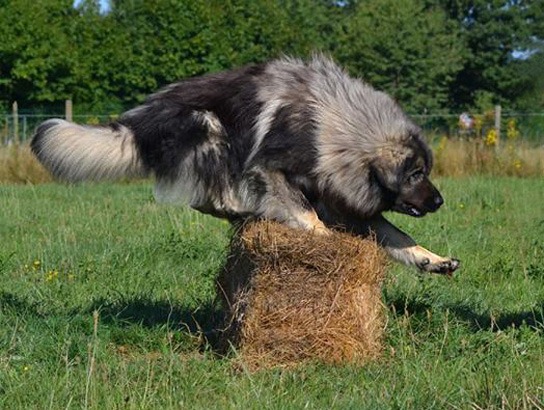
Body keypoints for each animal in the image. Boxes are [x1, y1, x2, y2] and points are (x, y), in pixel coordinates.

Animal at [30, 53, 460, 272]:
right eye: (415, 174)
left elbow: (398, 236)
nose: (440, 201)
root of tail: (141, 119)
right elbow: (307, 215)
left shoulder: (344, 201)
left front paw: (432, 259)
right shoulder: (270, 171)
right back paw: (244, 210)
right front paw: (323, 239)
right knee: (211, 197)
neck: (335, 129)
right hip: (209, 128)